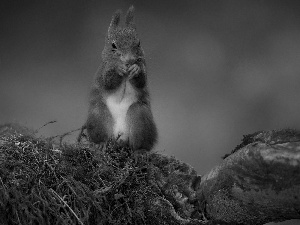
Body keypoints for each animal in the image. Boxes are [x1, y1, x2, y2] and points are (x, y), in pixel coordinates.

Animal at [79, 6, 159, 152]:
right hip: (98, 117)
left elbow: (142, 82)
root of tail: (120, 138)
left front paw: (136, 70)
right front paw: (118, 69)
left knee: (138, 143)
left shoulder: (143, 67)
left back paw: (140, 151)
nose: (129, 60)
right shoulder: (103, 72)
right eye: (113, 45)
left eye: (139, 43)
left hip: (140, 118)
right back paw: (101, 143)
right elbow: (108, 82)